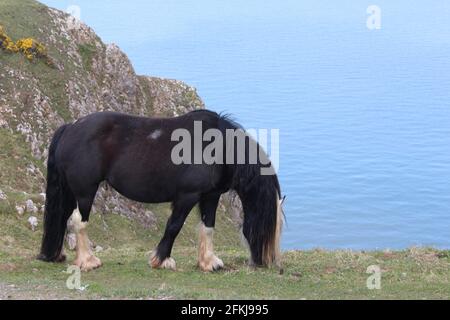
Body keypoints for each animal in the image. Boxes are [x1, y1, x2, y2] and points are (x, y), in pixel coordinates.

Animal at [39, 109, 284, 270]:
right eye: (268, 225)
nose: (266, 262)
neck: (217, 148)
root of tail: (70, 127)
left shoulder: (210, 196)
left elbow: (208, 227)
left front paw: (208, 263)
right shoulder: (187, 196)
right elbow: (174, 226)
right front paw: (161, 259)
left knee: (63, 218)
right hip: (85, 192)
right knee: (78, 221)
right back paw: (88, 262)